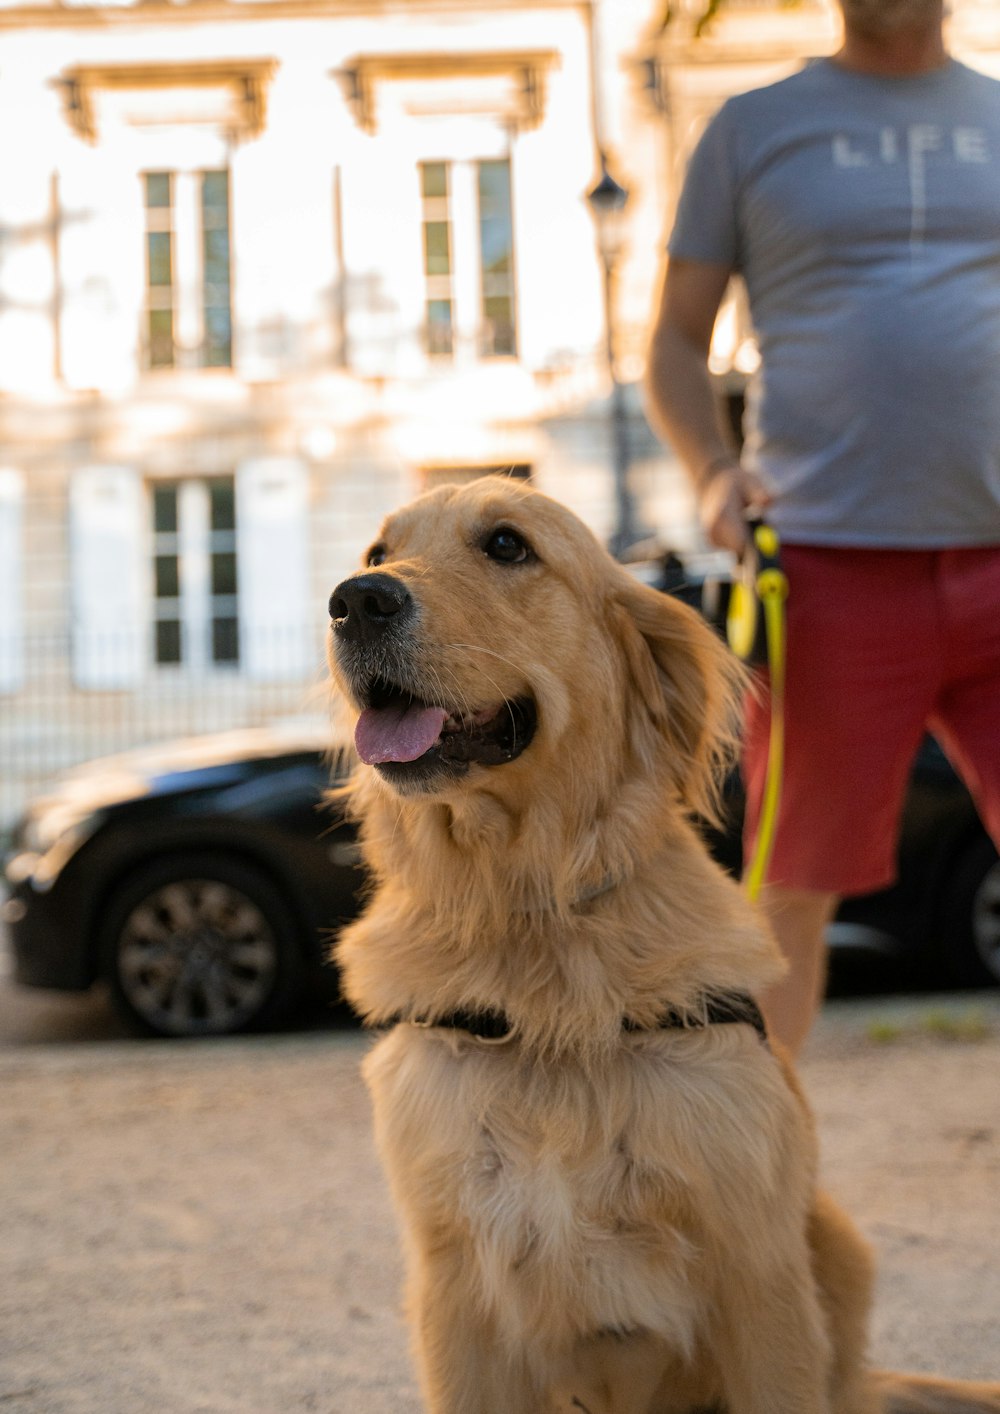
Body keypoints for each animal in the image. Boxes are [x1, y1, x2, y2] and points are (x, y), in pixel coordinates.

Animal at [328, 477, 1000, 1414]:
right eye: (377, 553)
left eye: (506, 545)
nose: (355, 602)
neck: (533, 918)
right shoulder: (454, 1291)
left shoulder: (760, 1279)